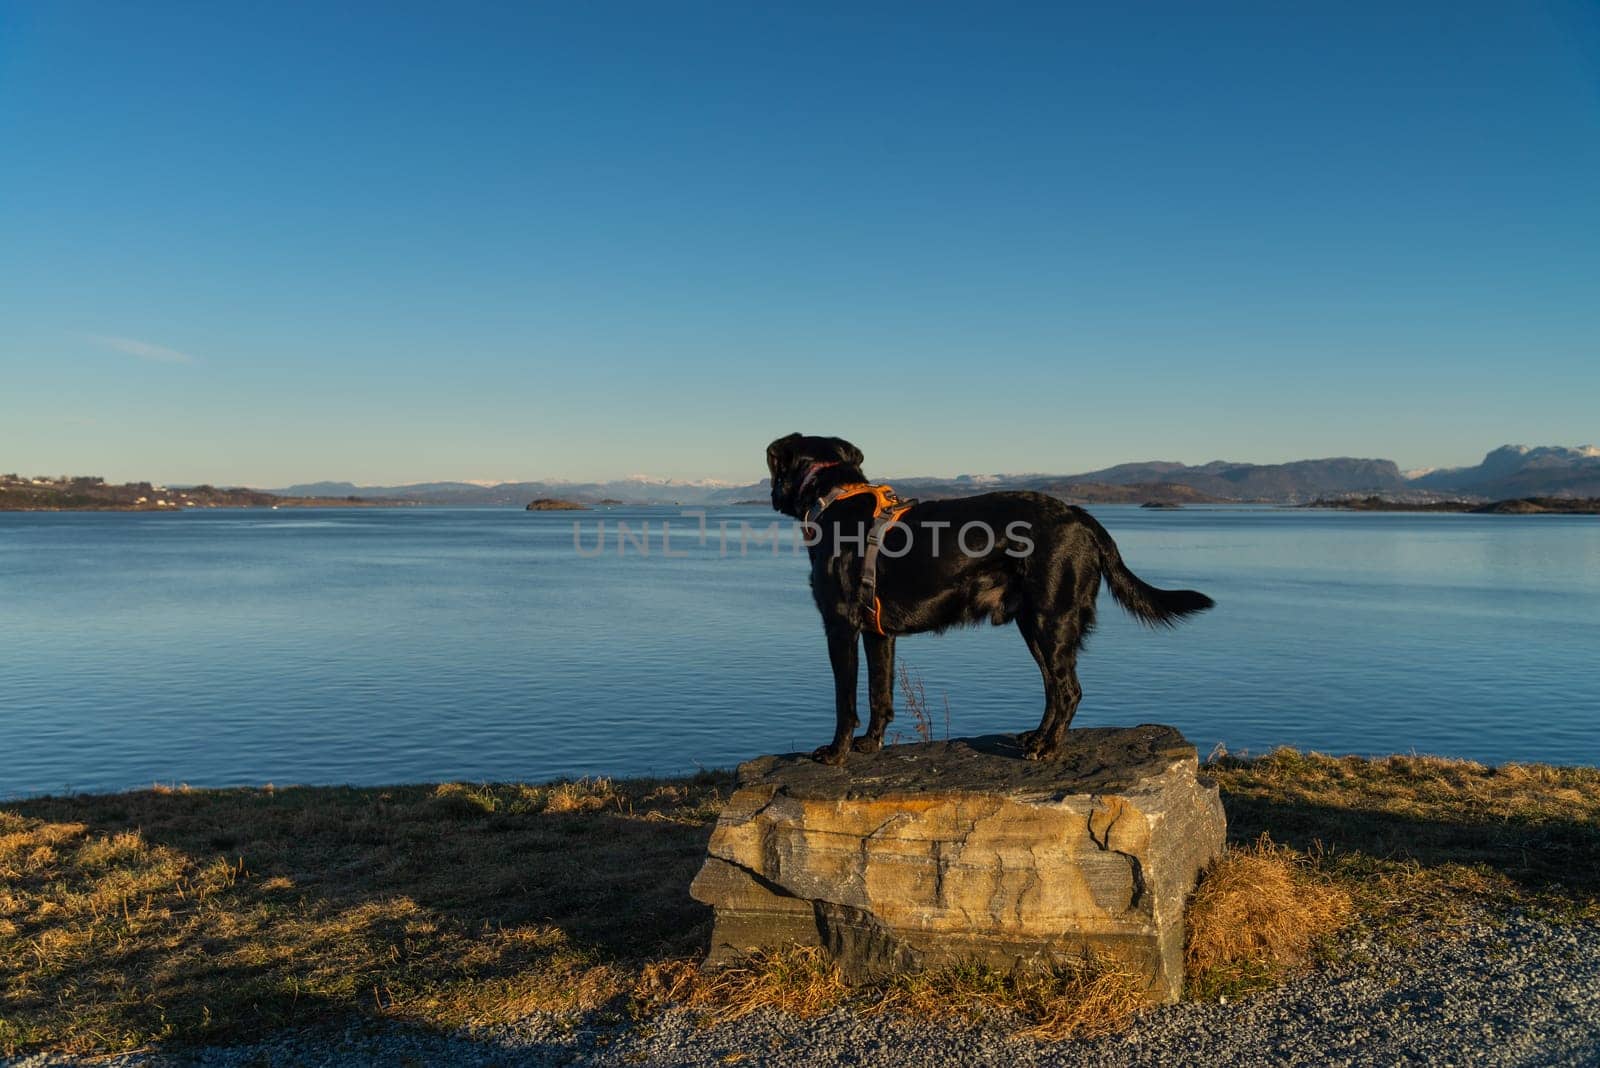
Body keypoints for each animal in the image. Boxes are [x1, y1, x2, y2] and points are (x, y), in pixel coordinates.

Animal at [771, 434, 1209, 767]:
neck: (835, 498)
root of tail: (1078, 514)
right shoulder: (879, 633)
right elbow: (881, 693)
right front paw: (870, 743)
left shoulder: (840, 626)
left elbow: (844, 700)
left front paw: (836, 752)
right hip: (1033, 624)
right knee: (1053, 688)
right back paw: (1036, 739)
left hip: (1052, 620)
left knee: (1069, 690)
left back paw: (1049, 748)